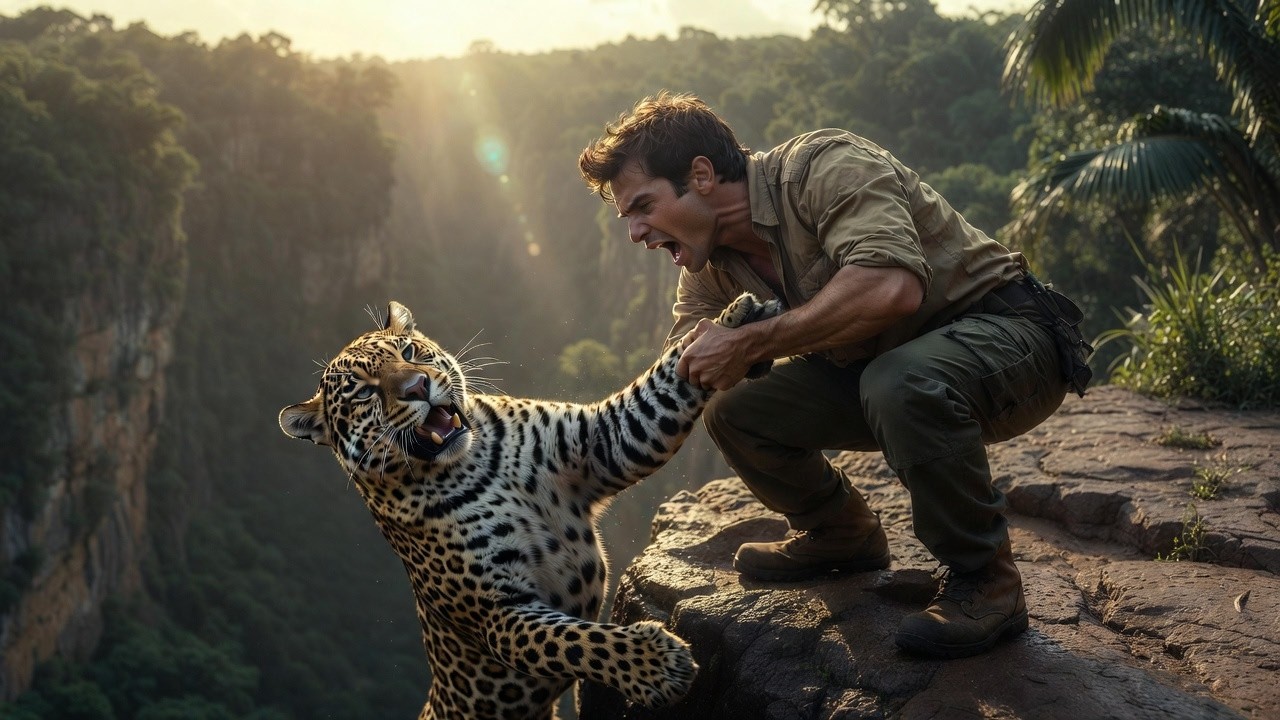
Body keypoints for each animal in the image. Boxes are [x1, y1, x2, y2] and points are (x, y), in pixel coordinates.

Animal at [278, 291, 779, 720]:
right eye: (364, 392)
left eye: (410, 352)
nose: (418, 386)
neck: (474, 463)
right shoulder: (500, 612)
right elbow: (578, 641)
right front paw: (652, 664)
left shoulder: (607, 442)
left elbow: (666, 381)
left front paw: (736, 322)